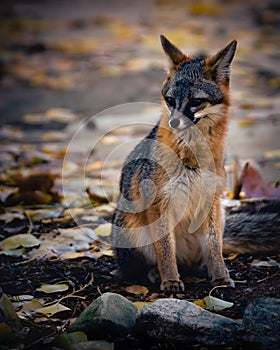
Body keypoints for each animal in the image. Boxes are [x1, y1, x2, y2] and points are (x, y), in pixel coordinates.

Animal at [110, 35, 278, 292]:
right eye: (170, 100)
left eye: (196, 101)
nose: (174, 122)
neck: (192, 155)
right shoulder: (159, 204)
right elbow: (165, 252)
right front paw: (170, 280)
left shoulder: (209, 201)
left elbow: (215, 250)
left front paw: (220, 276)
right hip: (133, 230)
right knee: (134, 270)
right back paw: (155, 274)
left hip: (218, 217)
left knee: (204, 254)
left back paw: (203, 269)